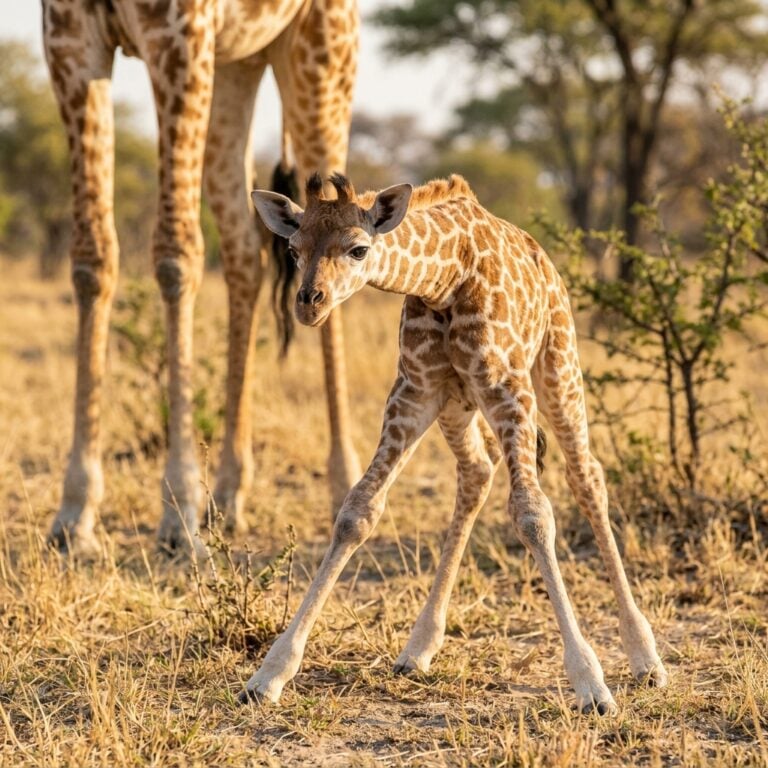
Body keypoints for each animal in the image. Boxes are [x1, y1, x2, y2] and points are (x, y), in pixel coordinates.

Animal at [42, 0, 361, 554]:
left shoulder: (179, 33)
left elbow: (176, 255)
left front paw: (178, 510)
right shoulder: (68, 36)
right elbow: (91, 260)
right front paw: (75, 512)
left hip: (320, 55)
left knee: (340, 214)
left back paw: (344, 483)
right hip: (236, 65)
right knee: (244, 251)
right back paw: (229, 493)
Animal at [242, 173, 669, 713]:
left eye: (359, 249)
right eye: (294, 249)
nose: (308, 302)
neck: (444, 279)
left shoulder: (509, 390)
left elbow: (533, 515)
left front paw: (591, 684)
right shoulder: (414, 392)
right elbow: (357, 511)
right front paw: (269, 673)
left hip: (559, 371)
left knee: (586, 475)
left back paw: (646, 657)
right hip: (457, 407)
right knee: (478, 471)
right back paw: (419, 647)